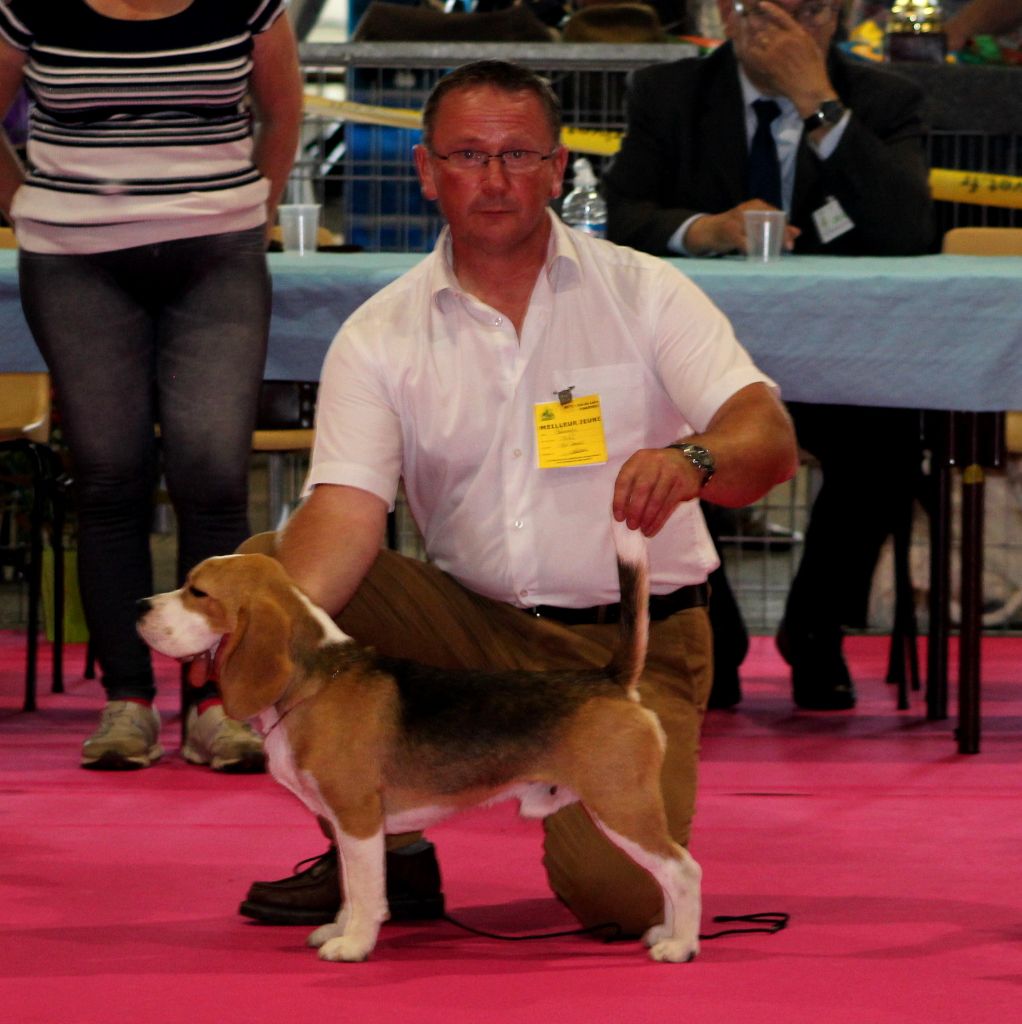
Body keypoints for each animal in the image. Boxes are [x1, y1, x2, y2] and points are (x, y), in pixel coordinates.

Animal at [138, 524, 704, 962]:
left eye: (197, 591)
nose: (140, 605)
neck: (314, 679)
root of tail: (610, 679)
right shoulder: (346, 824)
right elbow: (349, 885)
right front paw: (338, 927)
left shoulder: (358, 816)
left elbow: (367, 890)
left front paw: (353, 944)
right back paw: (666, 930)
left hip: (621, 806)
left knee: (682, 869)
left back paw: (680, 945)